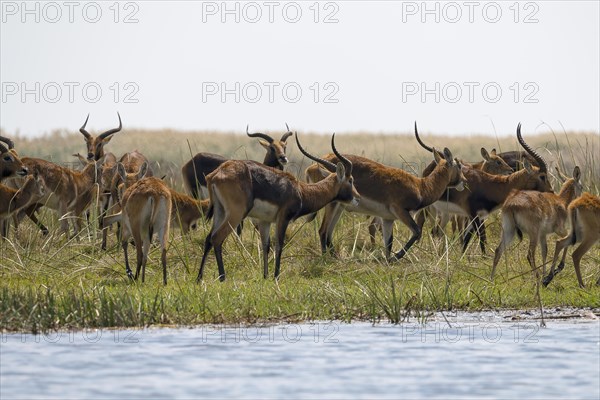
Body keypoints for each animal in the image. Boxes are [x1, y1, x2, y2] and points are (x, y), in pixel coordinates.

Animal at [197, 134, 358, 282]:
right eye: (350, 180)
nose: (357, 198)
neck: (300, 190)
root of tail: (215, 174)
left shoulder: (265, 221)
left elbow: (266, 245)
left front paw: (265, 277)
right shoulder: (283, 218)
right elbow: (279, 245)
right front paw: (276, 277)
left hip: (220, 211)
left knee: (209, 239)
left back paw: (199, 278)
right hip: (235, 214)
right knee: (217, 238)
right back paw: (222, 278)